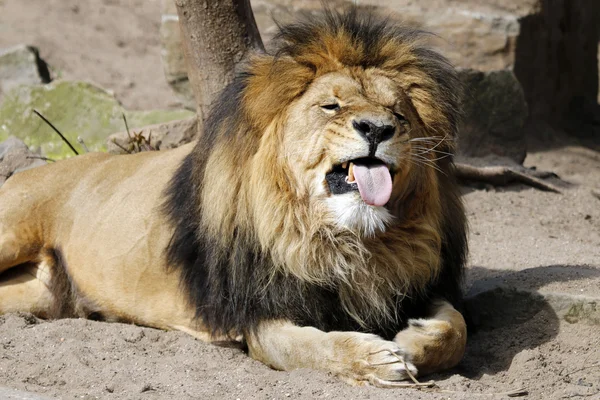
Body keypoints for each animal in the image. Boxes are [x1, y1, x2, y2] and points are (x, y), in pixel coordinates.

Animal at [0, 8, 468, 384]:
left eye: (398, 113)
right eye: (331, 106)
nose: (376, 128)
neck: (348, 241)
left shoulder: (416, 281)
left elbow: (456, 329)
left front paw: (412, 339)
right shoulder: (261, 316)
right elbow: (316, 347)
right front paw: (376, 359)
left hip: (40, 296)